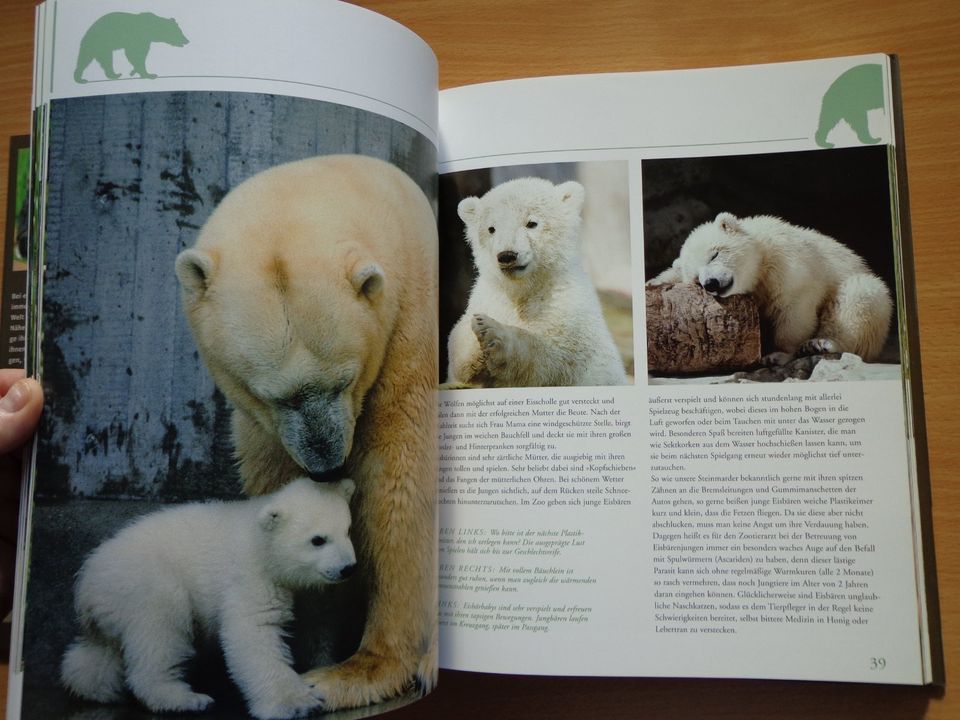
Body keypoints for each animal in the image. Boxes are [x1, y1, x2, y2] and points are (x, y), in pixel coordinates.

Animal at [174, 155, 436, 712]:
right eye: (270, 394)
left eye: (345, 379)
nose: (326, 464)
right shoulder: (267, 430)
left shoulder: (409, 335)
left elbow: (399, 490)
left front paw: (355, 672)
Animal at [446, 175, 628, 388]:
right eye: (491, 229)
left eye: (531, 223)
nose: (507, 256)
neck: (524, 289)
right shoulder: (491, 298)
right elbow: (459, 357)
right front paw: (474, 334)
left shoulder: (566, 306)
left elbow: (554, 355)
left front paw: (490, 329)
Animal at [648, 212, 888, 360]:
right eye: (697, 279)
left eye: (714, 253)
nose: (711, 283)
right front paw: (654, 281)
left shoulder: (788, 265)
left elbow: (794, 310)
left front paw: (778, 355)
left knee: (859, 295)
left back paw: (822, 343)